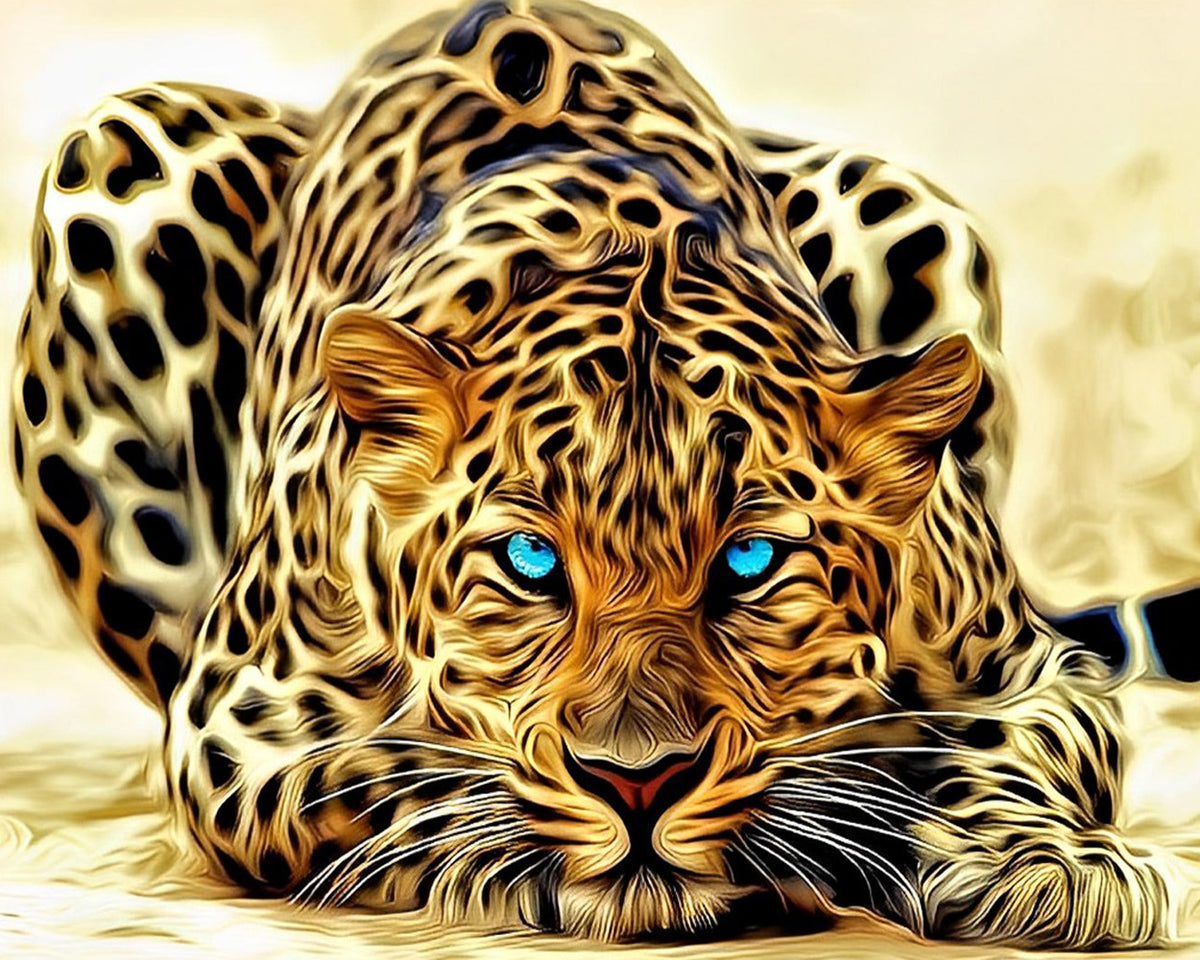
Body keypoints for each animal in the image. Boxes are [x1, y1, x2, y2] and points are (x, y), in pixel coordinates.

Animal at [10, 0, 1173, 947]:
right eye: (529, 561)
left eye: (750, 562)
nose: (638, 781)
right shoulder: (237, 719)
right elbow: (394, 773)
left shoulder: (1033, 670)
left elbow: (1004, 748)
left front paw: (1048, 864)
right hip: (120, 150)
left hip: (903, 200)